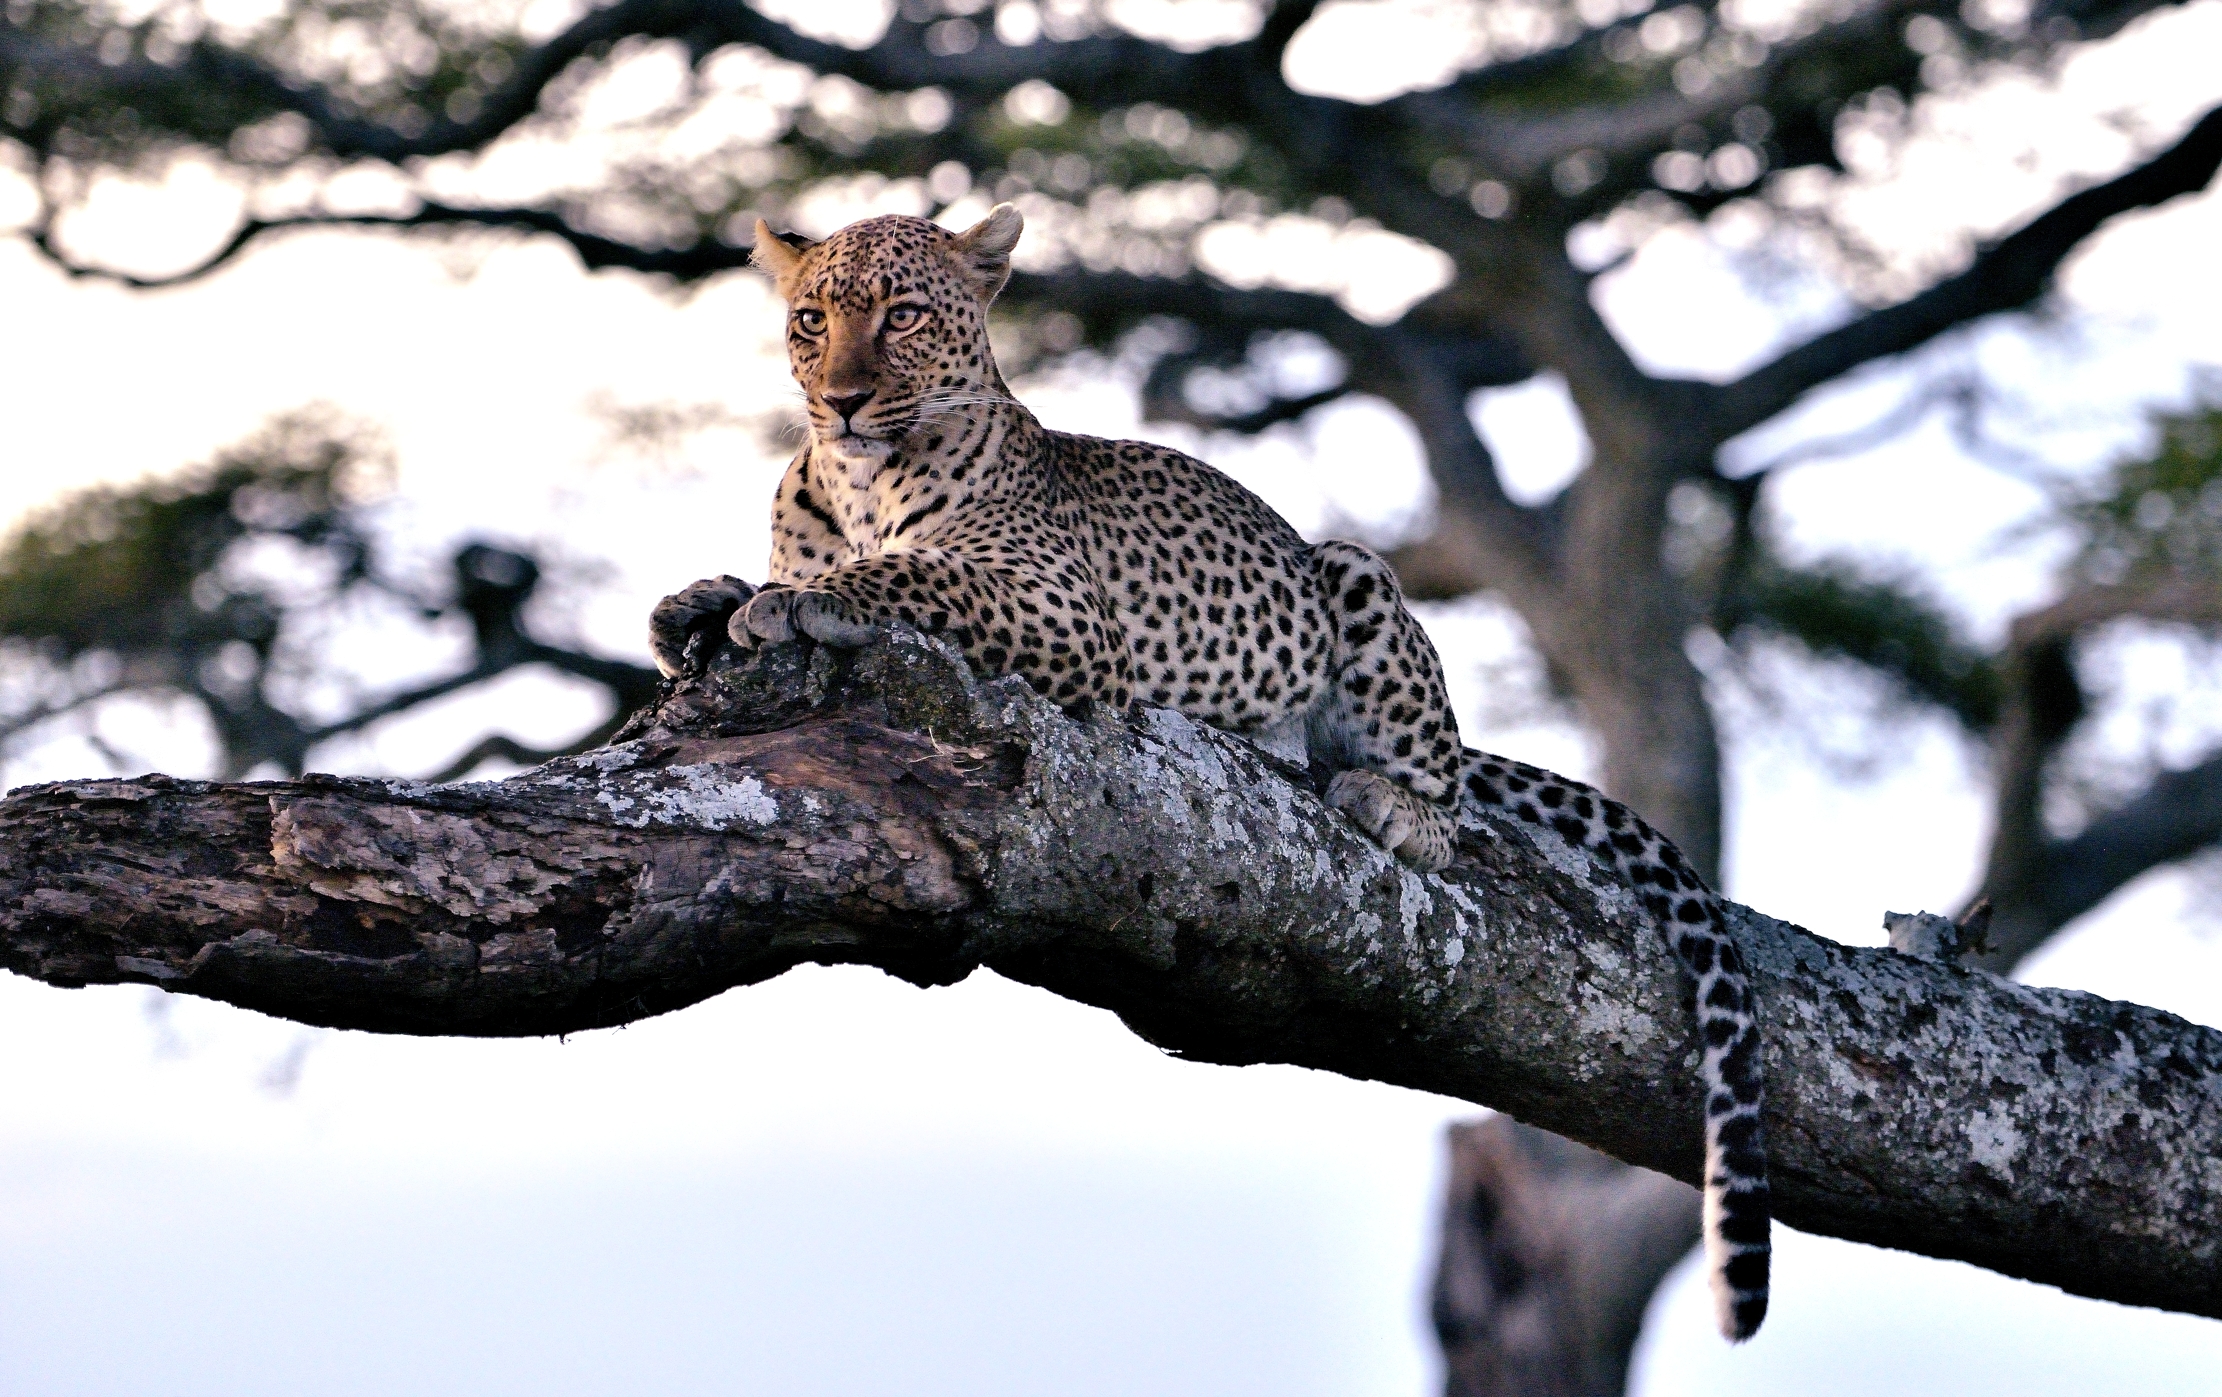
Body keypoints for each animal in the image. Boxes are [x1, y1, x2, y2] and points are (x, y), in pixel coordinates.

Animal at [647, 205, 1769, 1340]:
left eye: (905, 314)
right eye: (811, 319)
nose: (840, 399)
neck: (859, 481)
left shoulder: (1059, 607)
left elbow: (913, 573)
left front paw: (804, 599)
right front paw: (695, 603)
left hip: (1356, 574)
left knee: (1446, 795)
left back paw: (1385, 798)